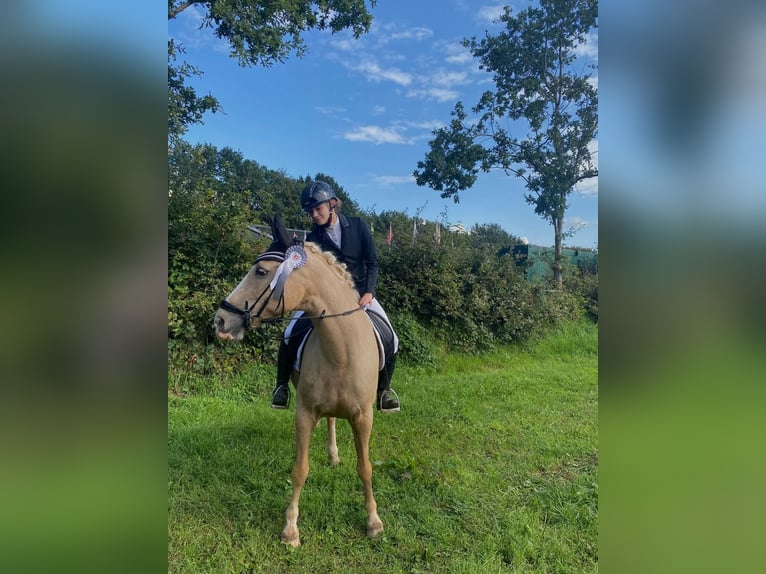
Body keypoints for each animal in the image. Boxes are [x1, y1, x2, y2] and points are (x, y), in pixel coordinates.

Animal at [214, 217, 384, 548]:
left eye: (261, 271)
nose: (220, 321)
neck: (341, 351)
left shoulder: (364, 417)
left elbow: (366, 468)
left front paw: (373, 521)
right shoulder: (304, 414)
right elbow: (300, 470)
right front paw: (290, 529)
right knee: (330, 420)